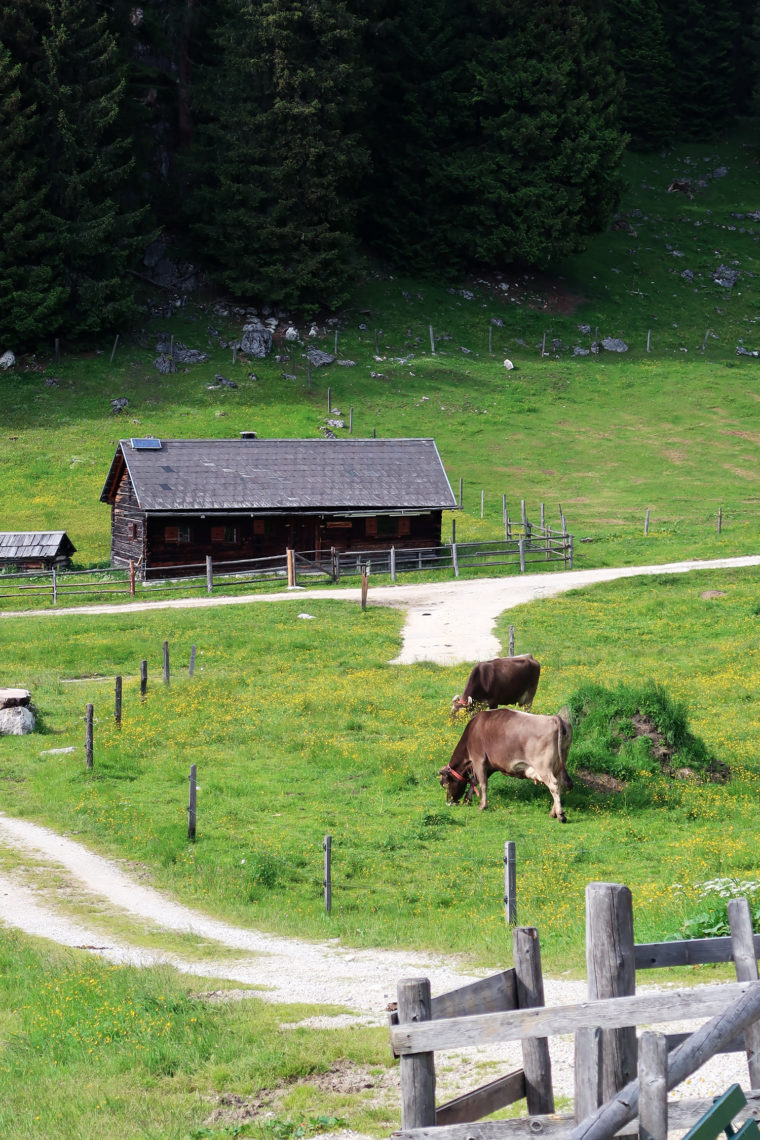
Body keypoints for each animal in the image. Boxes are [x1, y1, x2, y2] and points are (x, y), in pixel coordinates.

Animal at [439, 706, 569, 825]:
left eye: (445, 784)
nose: (448, 802)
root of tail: (554, 718)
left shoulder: (478, 759)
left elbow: (482, 784)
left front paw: (482, 806)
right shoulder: (489, 765)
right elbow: (475, 781)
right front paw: (467, 799)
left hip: (543, 767)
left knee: (554, 785)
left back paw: (561, 815)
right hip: (558, 766)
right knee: (560, 785)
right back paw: (553, 813)